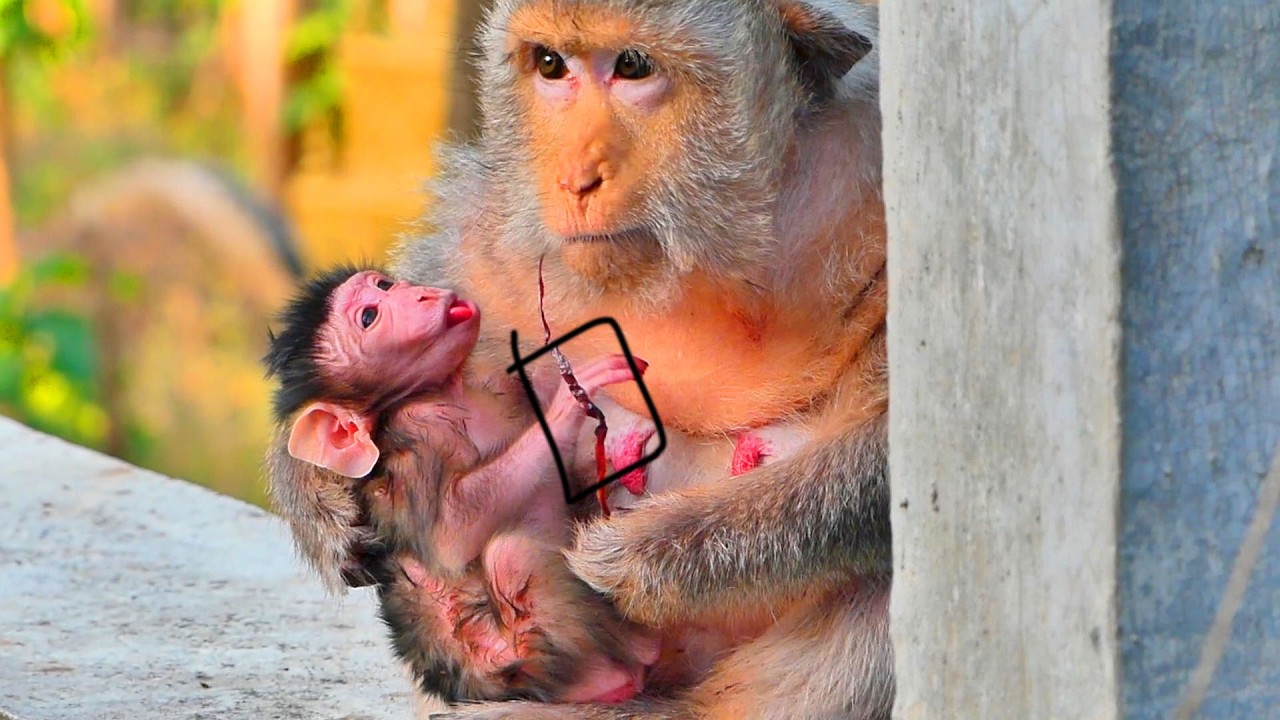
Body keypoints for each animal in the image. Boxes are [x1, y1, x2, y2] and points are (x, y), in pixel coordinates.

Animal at [263, 265, 662, 704]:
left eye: (385, 286)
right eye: (369, 317)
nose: (418, 295)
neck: (446, 388)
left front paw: (622, 450)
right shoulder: (416, 436)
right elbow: (449, 534)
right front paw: (569, 401)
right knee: (509, 555)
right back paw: (611, 676)